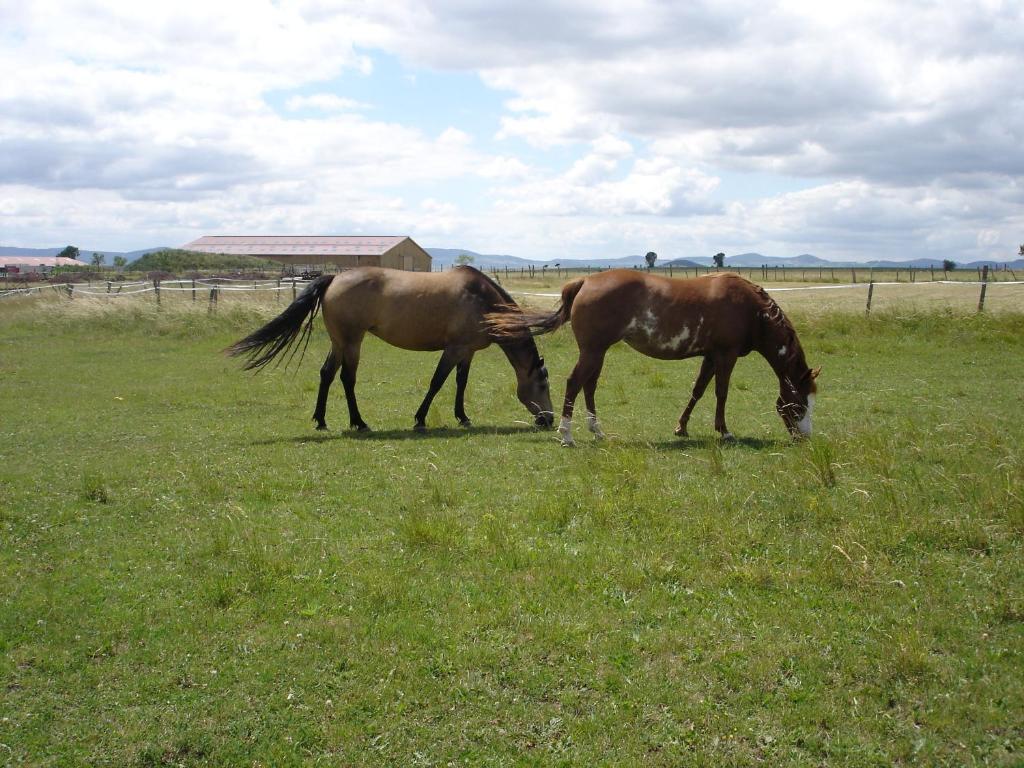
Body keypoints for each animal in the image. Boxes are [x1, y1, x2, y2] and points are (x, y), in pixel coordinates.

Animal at [228, 268, 557, 430]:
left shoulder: (468, 351)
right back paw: (359, 423)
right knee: (347, 378)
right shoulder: (454, 349)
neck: (481, 299)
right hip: (352, 342)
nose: (548, 420)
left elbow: (460, 383)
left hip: (339, 343)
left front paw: (462, 417)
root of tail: (334, 278)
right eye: (543, 384)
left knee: (326, 374)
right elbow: (437, 382)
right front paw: (420, 419)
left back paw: (321, 421)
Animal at [483, 270, 819, 448]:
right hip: (593, 350)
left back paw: (597, 431)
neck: (750, 309)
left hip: (598, 352)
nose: (805, 438)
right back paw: (566, 435)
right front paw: (724, 431)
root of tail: (584, 281)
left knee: (589, 386)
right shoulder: (726, 356)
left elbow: (698, 390)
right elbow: (721, 393)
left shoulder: (710, 356)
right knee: (574, 383)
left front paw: (681, 428)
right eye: (800, 404)